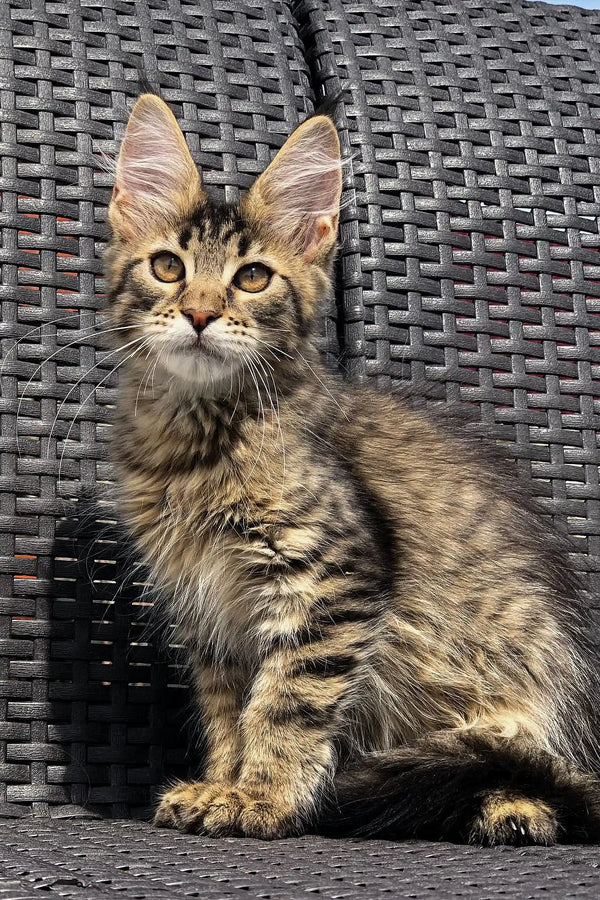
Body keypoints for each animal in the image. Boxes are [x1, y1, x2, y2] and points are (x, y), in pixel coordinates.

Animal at [105, 95, 600, 848]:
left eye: (252, 277)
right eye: (167, 267)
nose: (199, 313)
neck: (197, 441)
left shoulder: (331, 579)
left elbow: (284, 704)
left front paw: (263, 797)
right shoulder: (211, 615)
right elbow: (228, 714)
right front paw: (221, 784)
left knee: (546, 780)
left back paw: (510, 809)